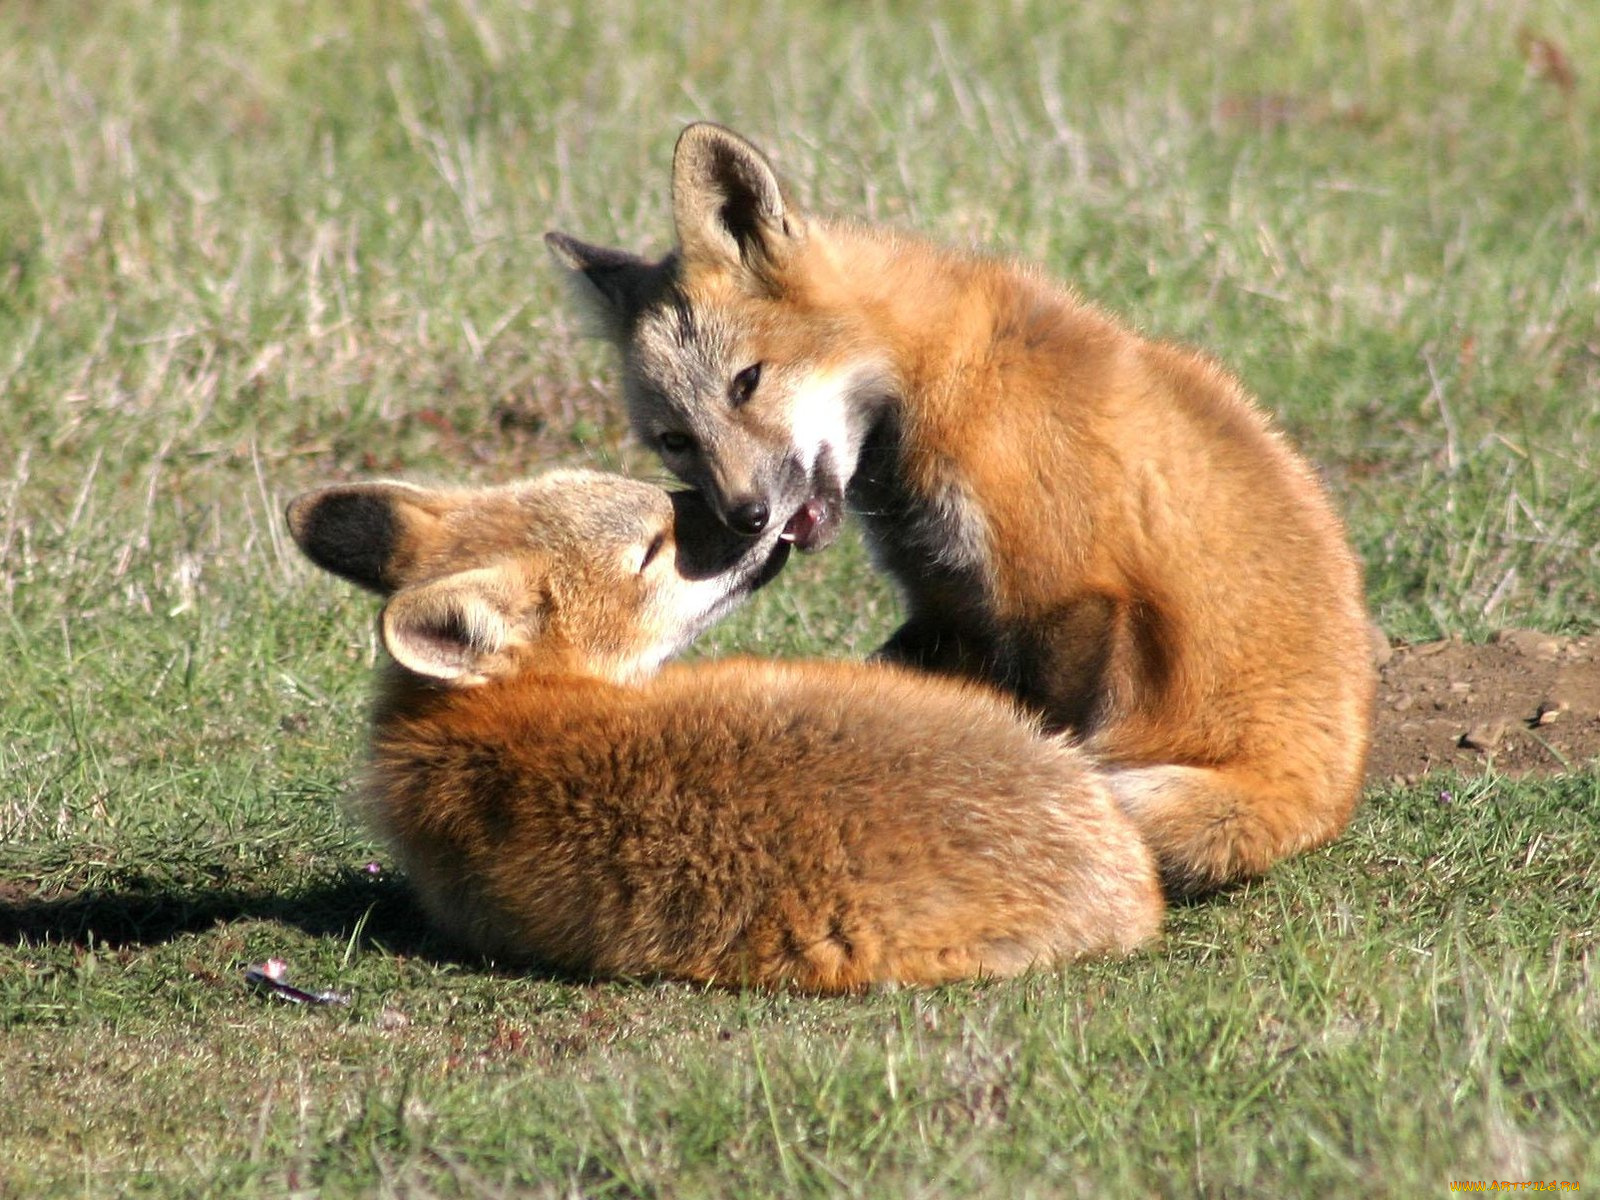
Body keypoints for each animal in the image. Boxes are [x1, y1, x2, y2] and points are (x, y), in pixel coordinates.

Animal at [544, 122, 1378, 894]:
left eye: (746, 383)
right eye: (675, 441)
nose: (743, 516)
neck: (943, 382)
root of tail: (1327, 794)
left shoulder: (1066, 593)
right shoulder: (948, 603)